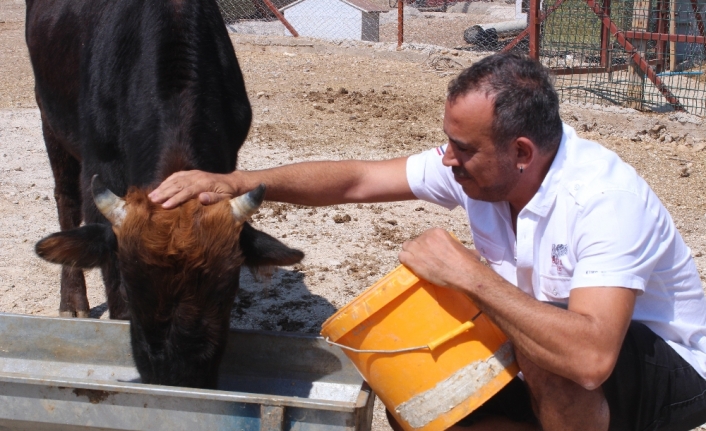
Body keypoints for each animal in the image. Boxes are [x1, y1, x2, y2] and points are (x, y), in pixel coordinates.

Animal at [26, 0, 302, 390]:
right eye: (130, 285)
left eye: (228, 289)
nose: (178, 378)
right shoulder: (100, 166)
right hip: (49, 120)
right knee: (65, 202)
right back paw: (72, 300)